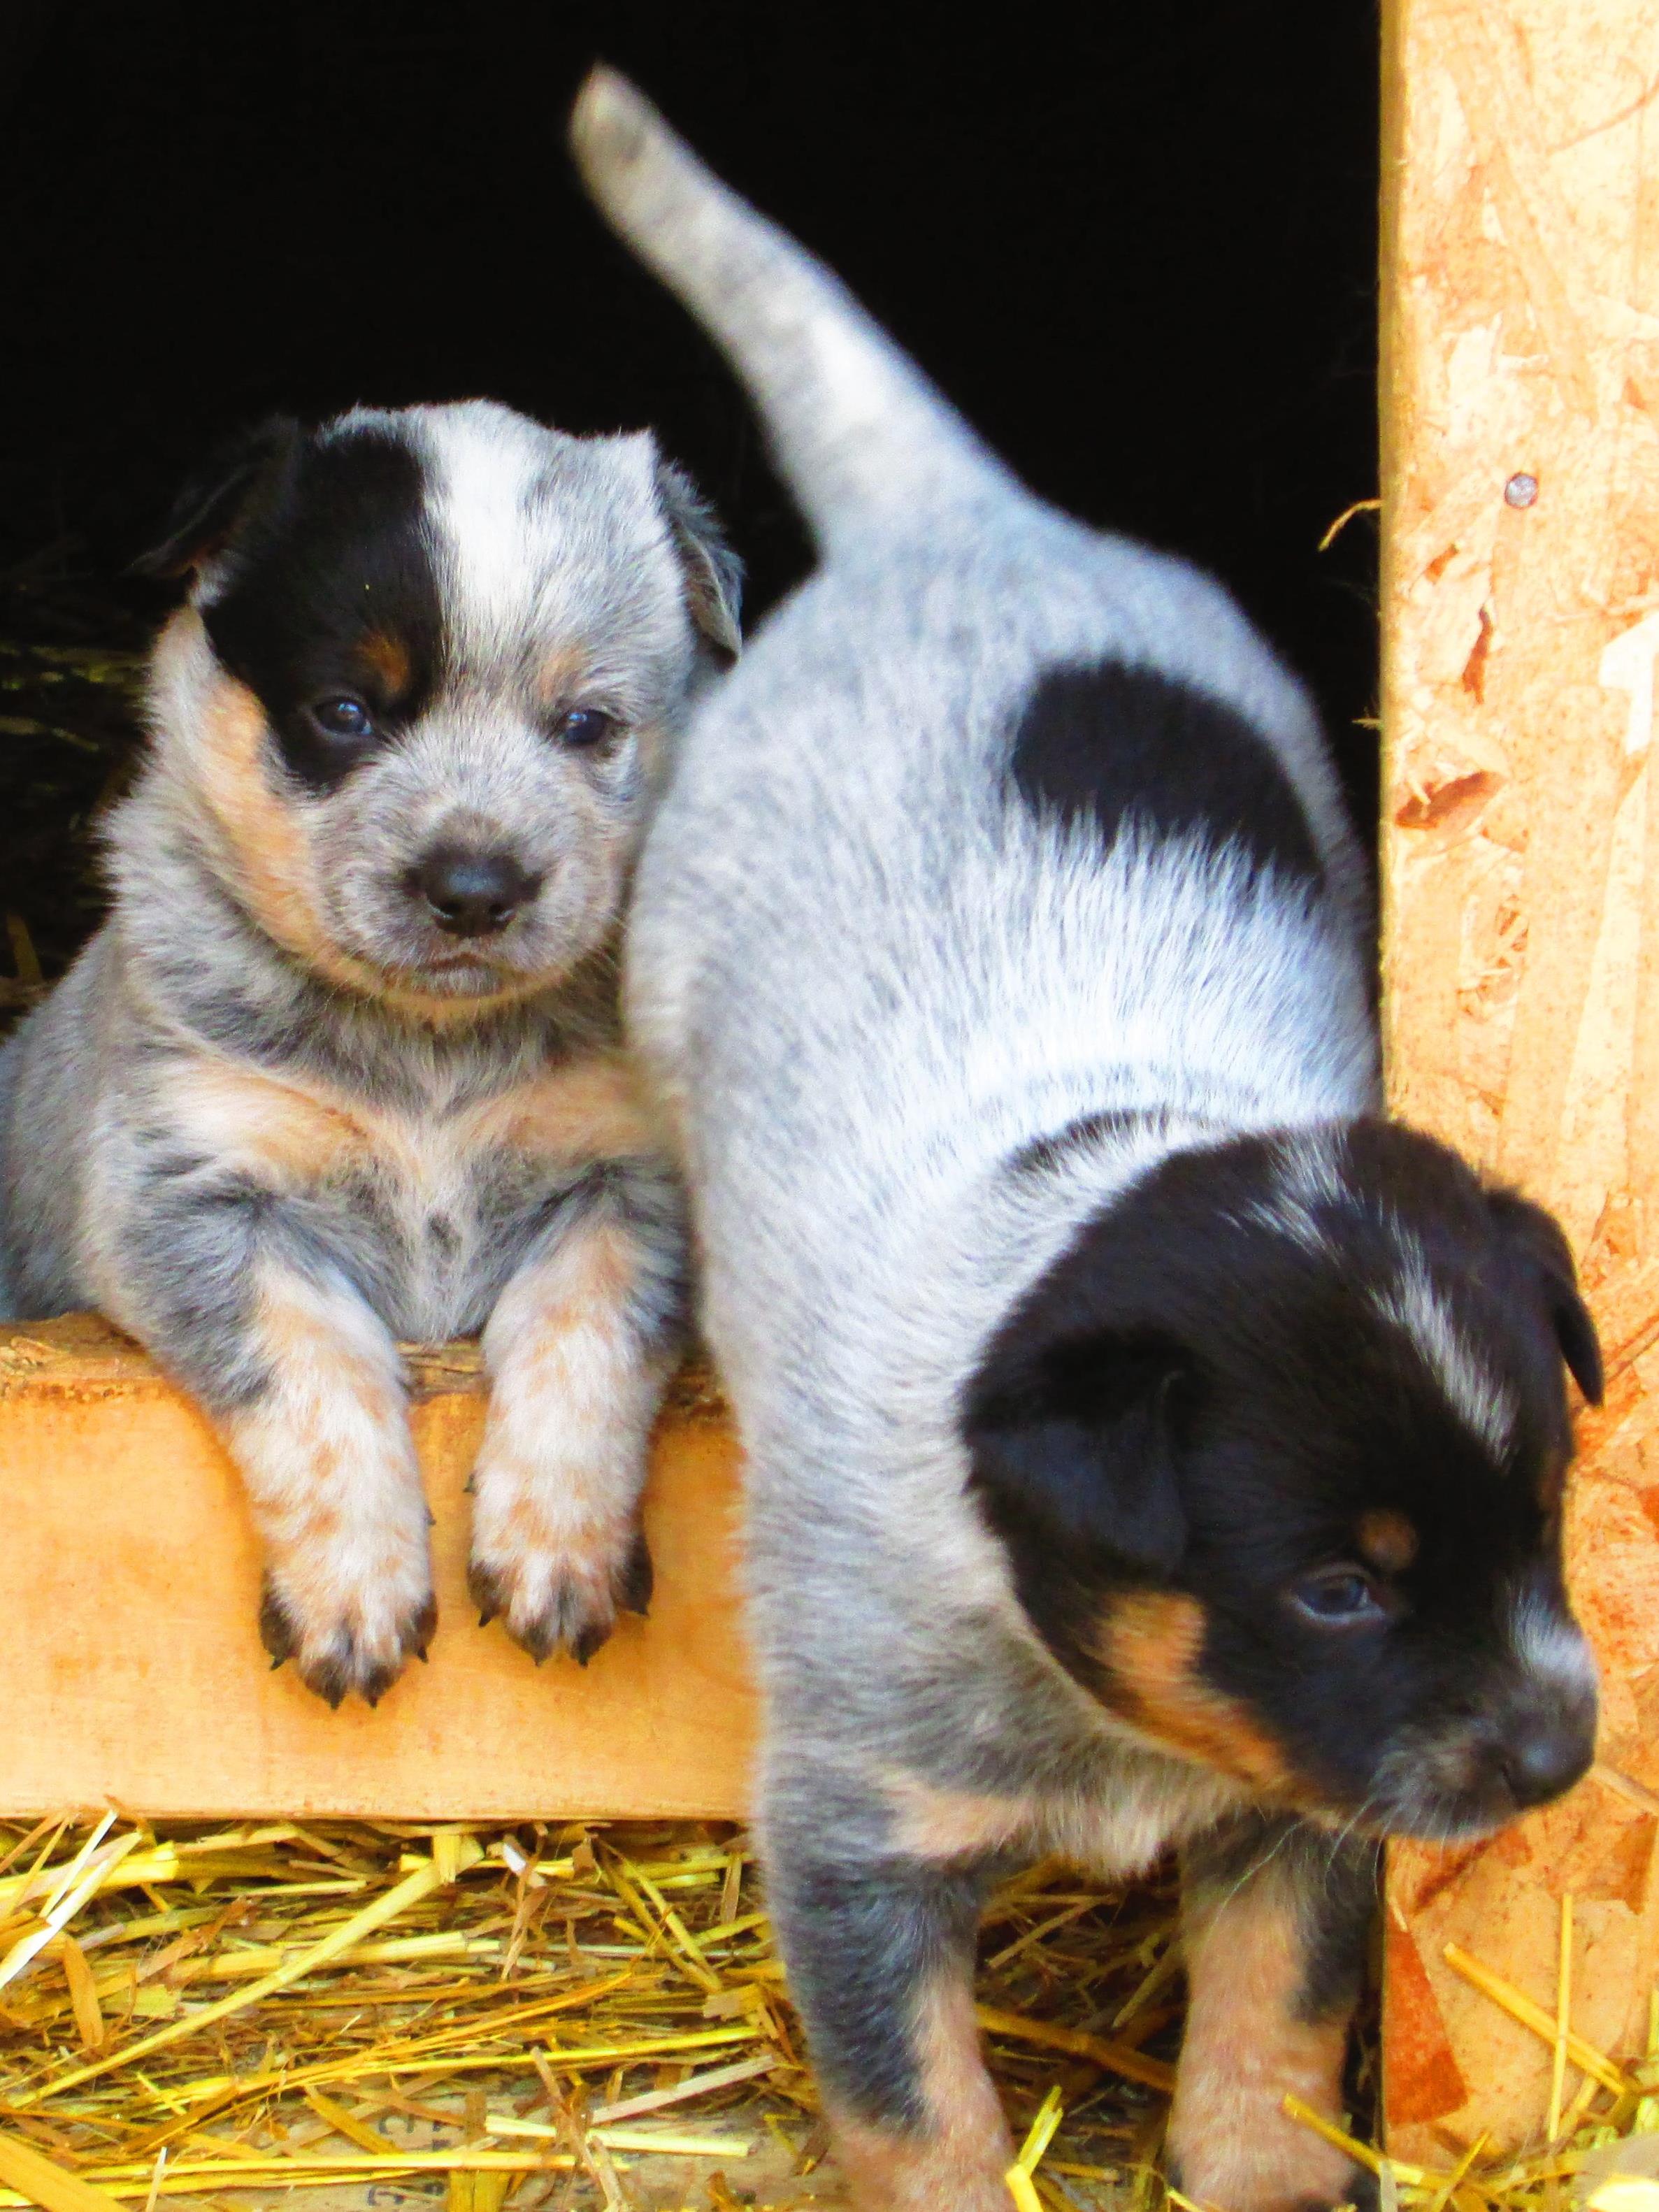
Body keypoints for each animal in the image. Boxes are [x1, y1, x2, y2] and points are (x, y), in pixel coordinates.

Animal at [0, 398, 738, 1707]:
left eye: (586, 725)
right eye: (345, 712)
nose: (475, 886)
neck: (427, 1049)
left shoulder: (633, 1174)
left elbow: (588, 1326)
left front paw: (556, 1550)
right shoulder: (186, 1189)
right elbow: (315, 1369)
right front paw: (355, 1595)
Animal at [575, 69, 1610, 2212]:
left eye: (1546, 1511)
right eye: (1337, 1589)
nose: (1561, 1760)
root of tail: (952, 519)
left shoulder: (1303, 1825)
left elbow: (1275, 2027)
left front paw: (1266, 2173)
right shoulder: (855, 1830)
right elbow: (917, 2106)